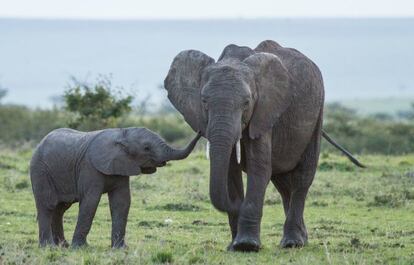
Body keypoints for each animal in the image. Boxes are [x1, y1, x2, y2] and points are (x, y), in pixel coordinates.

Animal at [29, 127, 201, 246]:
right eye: (146, 148)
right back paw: (49, 247)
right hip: (40, 170)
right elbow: (91, 202)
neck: (122, 134)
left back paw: (62, 246)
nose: (200, 130)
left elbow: (122, 202)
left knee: (60, 208)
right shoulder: (89, 167)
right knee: (48, 205)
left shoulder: (122, 165)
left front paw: (120, 249)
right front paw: (80, 247)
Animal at [163, 40, 364, 251]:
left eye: (246, 102)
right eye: (204, 101)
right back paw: (300, 239)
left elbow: (258, 168)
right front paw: (234, 246)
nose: (237, 204)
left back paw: (293, 243)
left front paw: (246, 245)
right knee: (283, 184)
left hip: (317, 114)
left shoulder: (264, 112)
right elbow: (230, 172)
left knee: (302, 178)